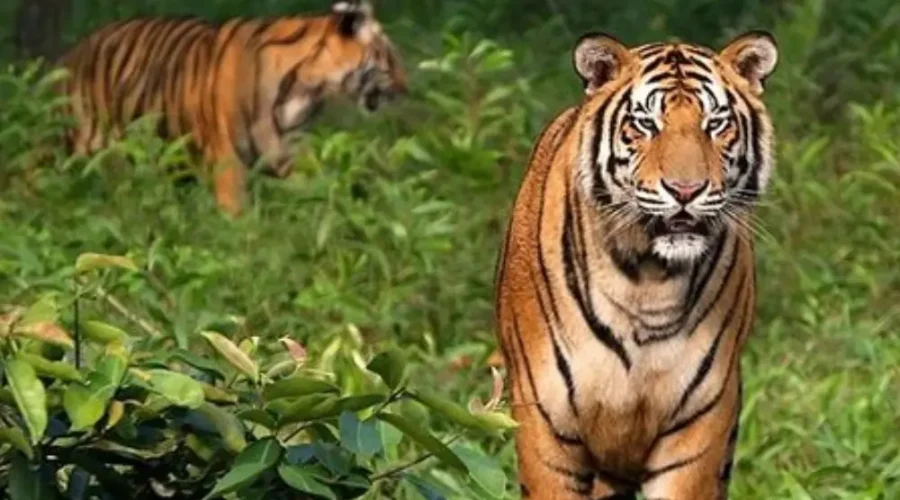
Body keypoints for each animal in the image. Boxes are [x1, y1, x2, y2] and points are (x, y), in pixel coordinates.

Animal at [57, 0, 408, 216]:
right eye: (389, 58)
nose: (407, 88)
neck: (306, 89)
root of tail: (73, 51)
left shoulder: (290, 153)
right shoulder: (228, 163)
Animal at [494, 30, 778, 499]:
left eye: (716, 123)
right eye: (646, 124)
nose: (686, 190)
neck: (648, 279)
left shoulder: (700, 424)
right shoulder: (546, 423)